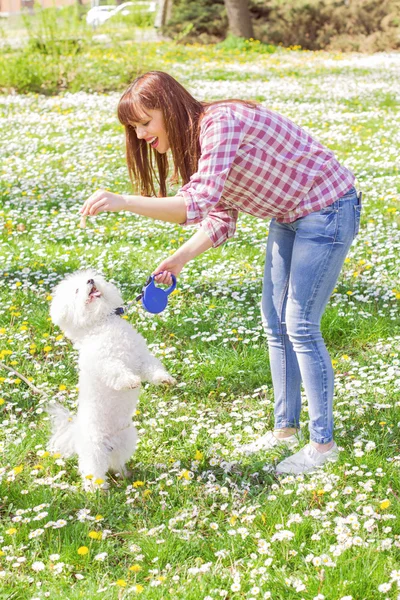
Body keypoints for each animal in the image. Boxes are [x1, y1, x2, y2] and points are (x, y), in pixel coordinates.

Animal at [47, 270, 175, 490]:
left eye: (90, 278)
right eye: (77, 290)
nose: (90, 281)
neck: (102, 323)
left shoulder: (141, 357)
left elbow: (152, 368)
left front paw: (164, 379)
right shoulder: (106, 362)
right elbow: (118, 372)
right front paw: (131, 381)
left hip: (127, 440)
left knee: (117, 463)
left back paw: (124, 474)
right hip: (94, 451)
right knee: (93, 472)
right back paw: (97, 490)